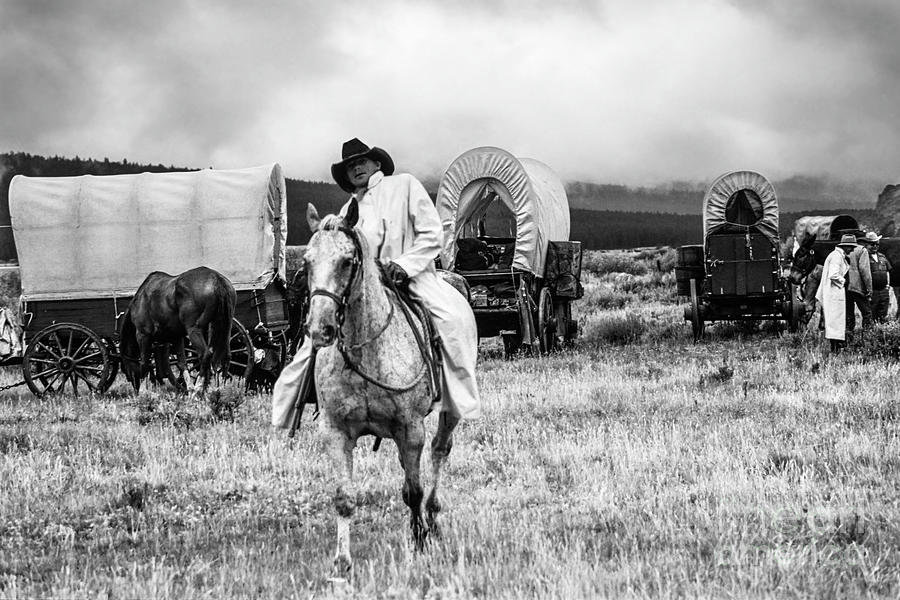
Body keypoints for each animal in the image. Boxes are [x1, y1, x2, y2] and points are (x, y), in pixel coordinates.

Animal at [119, 264, 236, 396]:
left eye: (125, 368)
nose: (135, 388)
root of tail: (216, 279)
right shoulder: (177, 337)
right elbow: (182, 363)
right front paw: (189, 388)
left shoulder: (143, 335)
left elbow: (144, 363)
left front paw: (144, 391)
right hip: (224, 330)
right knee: (225, 357)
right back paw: (218, 390)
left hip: (194, 330)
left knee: (205, 355)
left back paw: (198, 388)